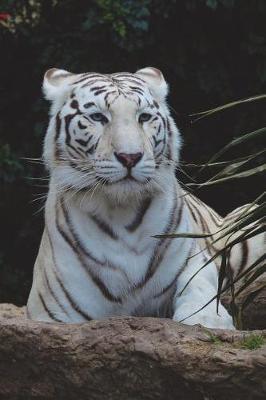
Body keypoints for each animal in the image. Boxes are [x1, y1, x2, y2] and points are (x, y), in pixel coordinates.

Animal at [27, 66, 262, 328]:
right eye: (98, 117)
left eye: (144, 117)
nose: (130, 157)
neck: (122, 214)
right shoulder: (53, 311)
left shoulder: (194, 258)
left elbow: (197, 286)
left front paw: (207, 319)